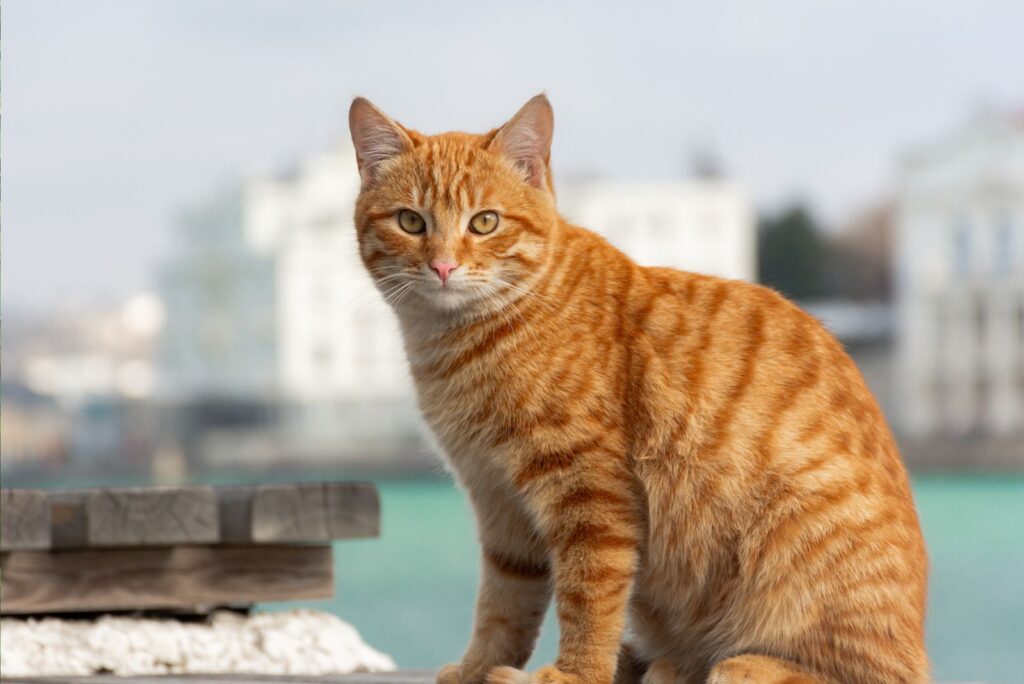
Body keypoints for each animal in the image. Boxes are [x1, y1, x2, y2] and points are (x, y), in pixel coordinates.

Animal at [350, 94, 929, 684]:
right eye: (410, 221)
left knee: (856, 671)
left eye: (484, 222)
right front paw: (479, 666)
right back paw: (658, 662)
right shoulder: (498, 503)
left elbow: (589, 596)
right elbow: (503, 603)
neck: (461, 343)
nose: (443, 266)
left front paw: (574, 674)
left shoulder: (589, 493)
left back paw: (739, 664)